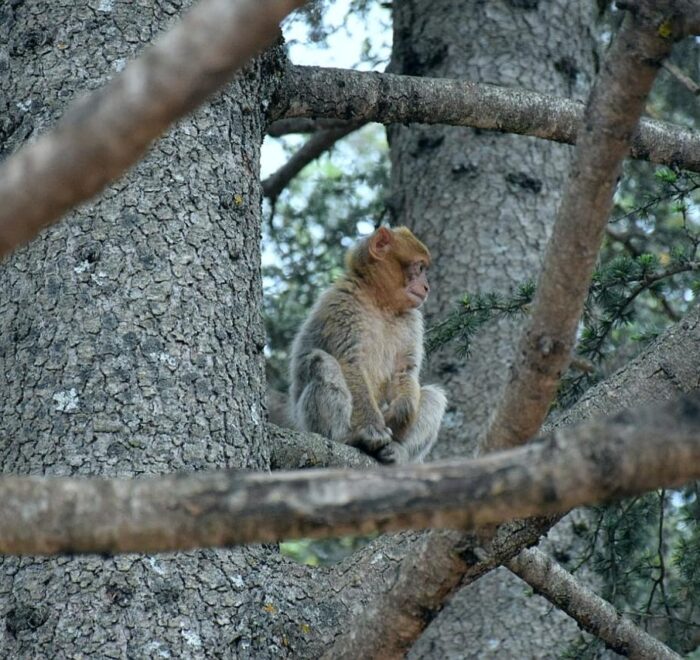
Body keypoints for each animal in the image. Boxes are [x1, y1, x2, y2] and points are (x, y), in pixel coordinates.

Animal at [290, 227, 448, 464]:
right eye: (419, 268)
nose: (426, 287)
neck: (381, 302)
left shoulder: (412, 321)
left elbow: (405, 370)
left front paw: (398, 414)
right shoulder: (342, 305)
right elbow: (351, 363)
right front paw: (373, 429)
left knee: (434, 396)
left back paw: (398, 451)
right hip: (308, 424)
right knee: (321, 362)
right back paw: (347, 438)